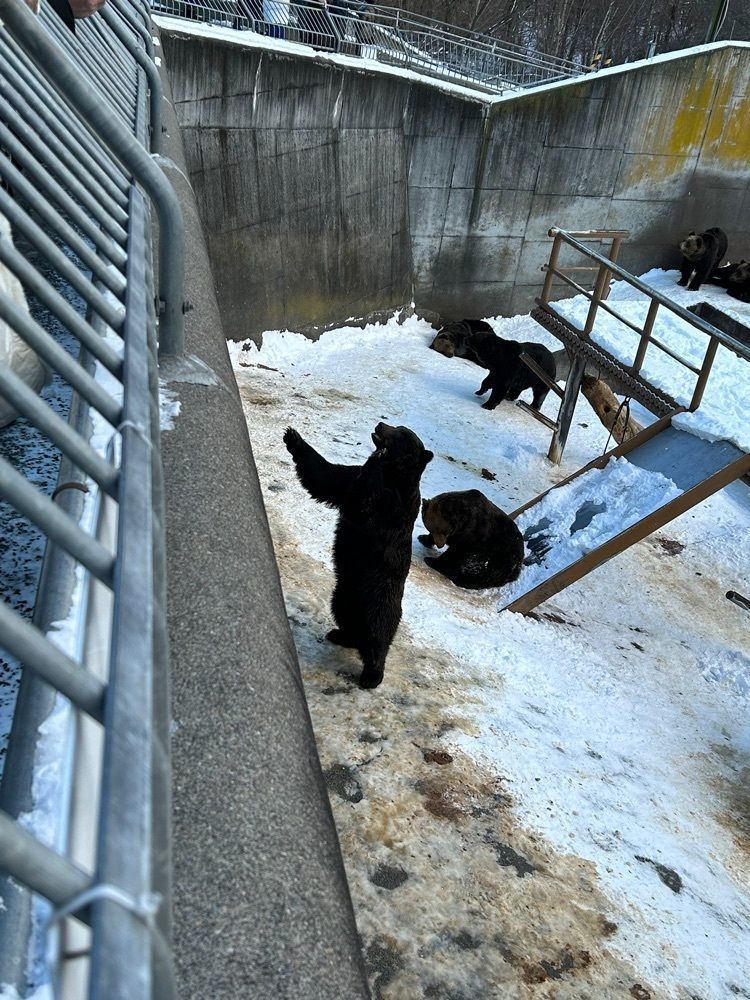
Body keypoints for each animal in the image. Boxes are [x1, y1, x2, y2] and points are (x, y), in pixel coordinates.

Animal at [284, 422, 433, 689]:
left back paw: (371, 676)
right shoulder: (349, 479)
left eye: (400, 433)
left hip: (378, 603)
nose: (380, 424)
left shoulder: (389, 504)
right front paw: (293, 437)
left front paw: (378, 456)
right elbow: (325, 476)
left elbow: (363, 503)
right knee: (348, 621)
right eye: (399, 426)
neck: (394, 476)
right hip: (343, 596)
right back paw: (339, 635)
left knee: (377, 641)